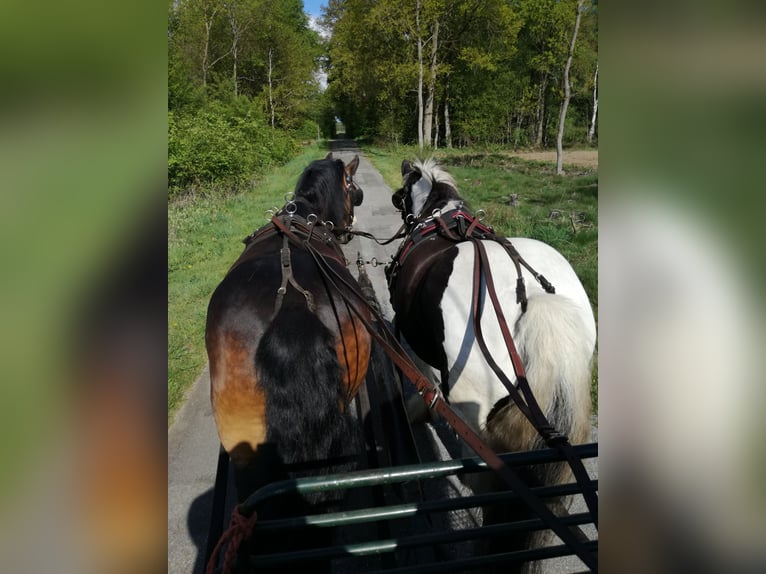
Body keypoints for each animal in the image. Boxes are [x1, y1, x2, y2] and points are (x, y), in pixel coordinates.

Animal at [388, 158, 596, 572]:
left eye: (400, 195)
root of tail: (531, 294)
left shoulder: (410, 335)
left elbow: (424, 376)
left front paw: (419, 407)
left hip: (472, 403)